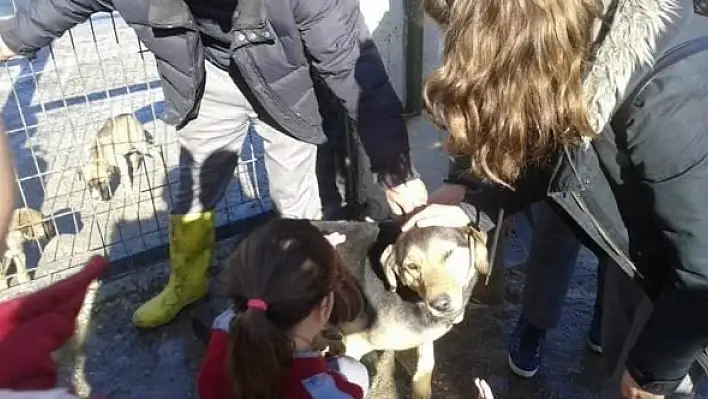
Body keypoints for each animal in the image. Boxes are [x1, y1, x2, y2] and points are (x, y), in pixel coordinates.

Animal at [312, 222, 490, 399]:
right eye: (412, 266)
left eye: (448, 254)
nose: (440, 304)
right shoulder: (353, 344)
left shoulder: (424, 336)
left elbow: (425, 369)